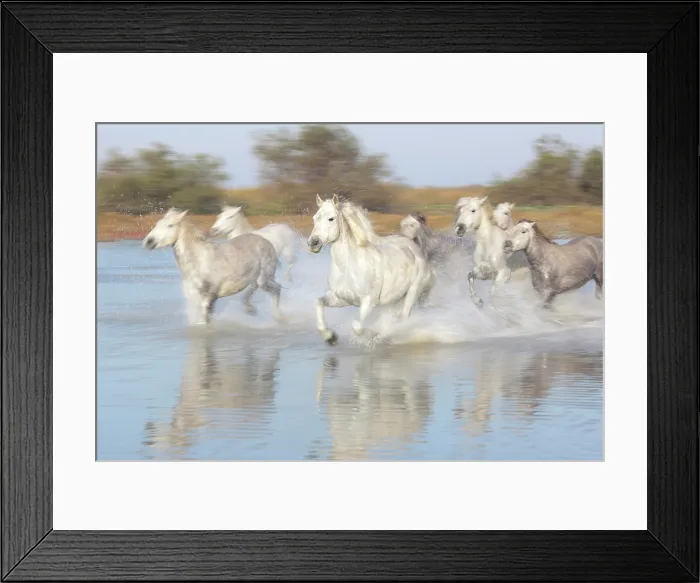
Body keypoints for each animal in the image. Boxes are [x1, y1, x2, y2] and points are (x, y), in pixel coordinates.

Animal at [143, 208, 284, 325]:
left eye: (170, 225)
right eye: (157, 224)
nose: (148, 242)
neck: (199, 261)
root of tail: (267, 242)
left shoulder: (209, 297)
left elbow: (204, 322)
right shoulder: (196, 298)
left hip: (264, 279)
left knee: (276, 289)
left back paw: (275, 317)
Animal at [307, 194, 435, 345]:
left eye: (331, 218)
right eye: (315, 218)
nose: (313, 243)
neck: (348, 268)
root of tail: (412, 246)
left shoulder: (368, 302)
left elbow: (357, 326)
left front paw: (371, 335)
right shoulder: (340, 298)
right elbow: (318, 302)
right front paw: (330, 337)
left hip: (413, 292)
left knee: (403, 318)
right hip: (390, 302)